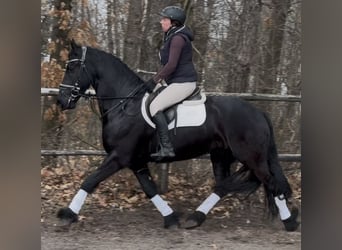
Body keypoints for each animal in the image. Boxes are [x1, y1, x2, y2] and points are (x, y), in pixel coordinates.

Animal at [54, 39, 298, 232]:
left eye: (72, 67)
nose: (61, 101)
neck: (124, 104)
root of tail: (258, 112)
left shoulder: (119, 157)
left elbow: (90, 181)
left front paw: (67, 215)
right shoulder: (136, 161)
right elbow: (150, 190)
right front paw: (171, 218)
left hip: (251, 156)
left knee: (270, 182)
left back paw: (289, 222)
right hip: (221, 155)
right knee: (223, 186)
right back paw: (195, 218)